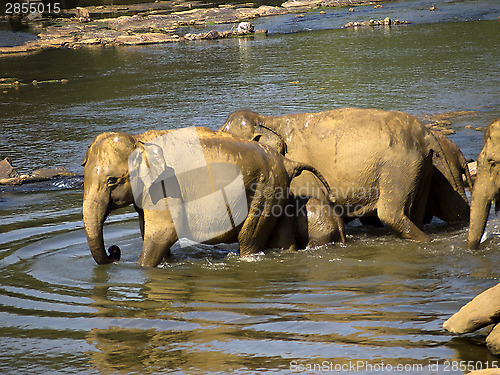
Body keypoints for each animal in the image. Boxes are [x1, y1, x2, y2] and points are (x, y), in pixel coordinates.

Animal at [82, 126, 334, 268]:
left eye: (111, 180)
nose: (114, 251)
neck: (139, 140)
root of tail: (285, 161)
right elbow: (148, 230)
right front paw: (168, 262)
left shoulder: (166, 186)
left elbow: (164, 232)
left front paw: (142, 267)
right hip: (275, 190)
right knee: (280, 238)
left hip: (265, 189)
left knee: (249, 239)